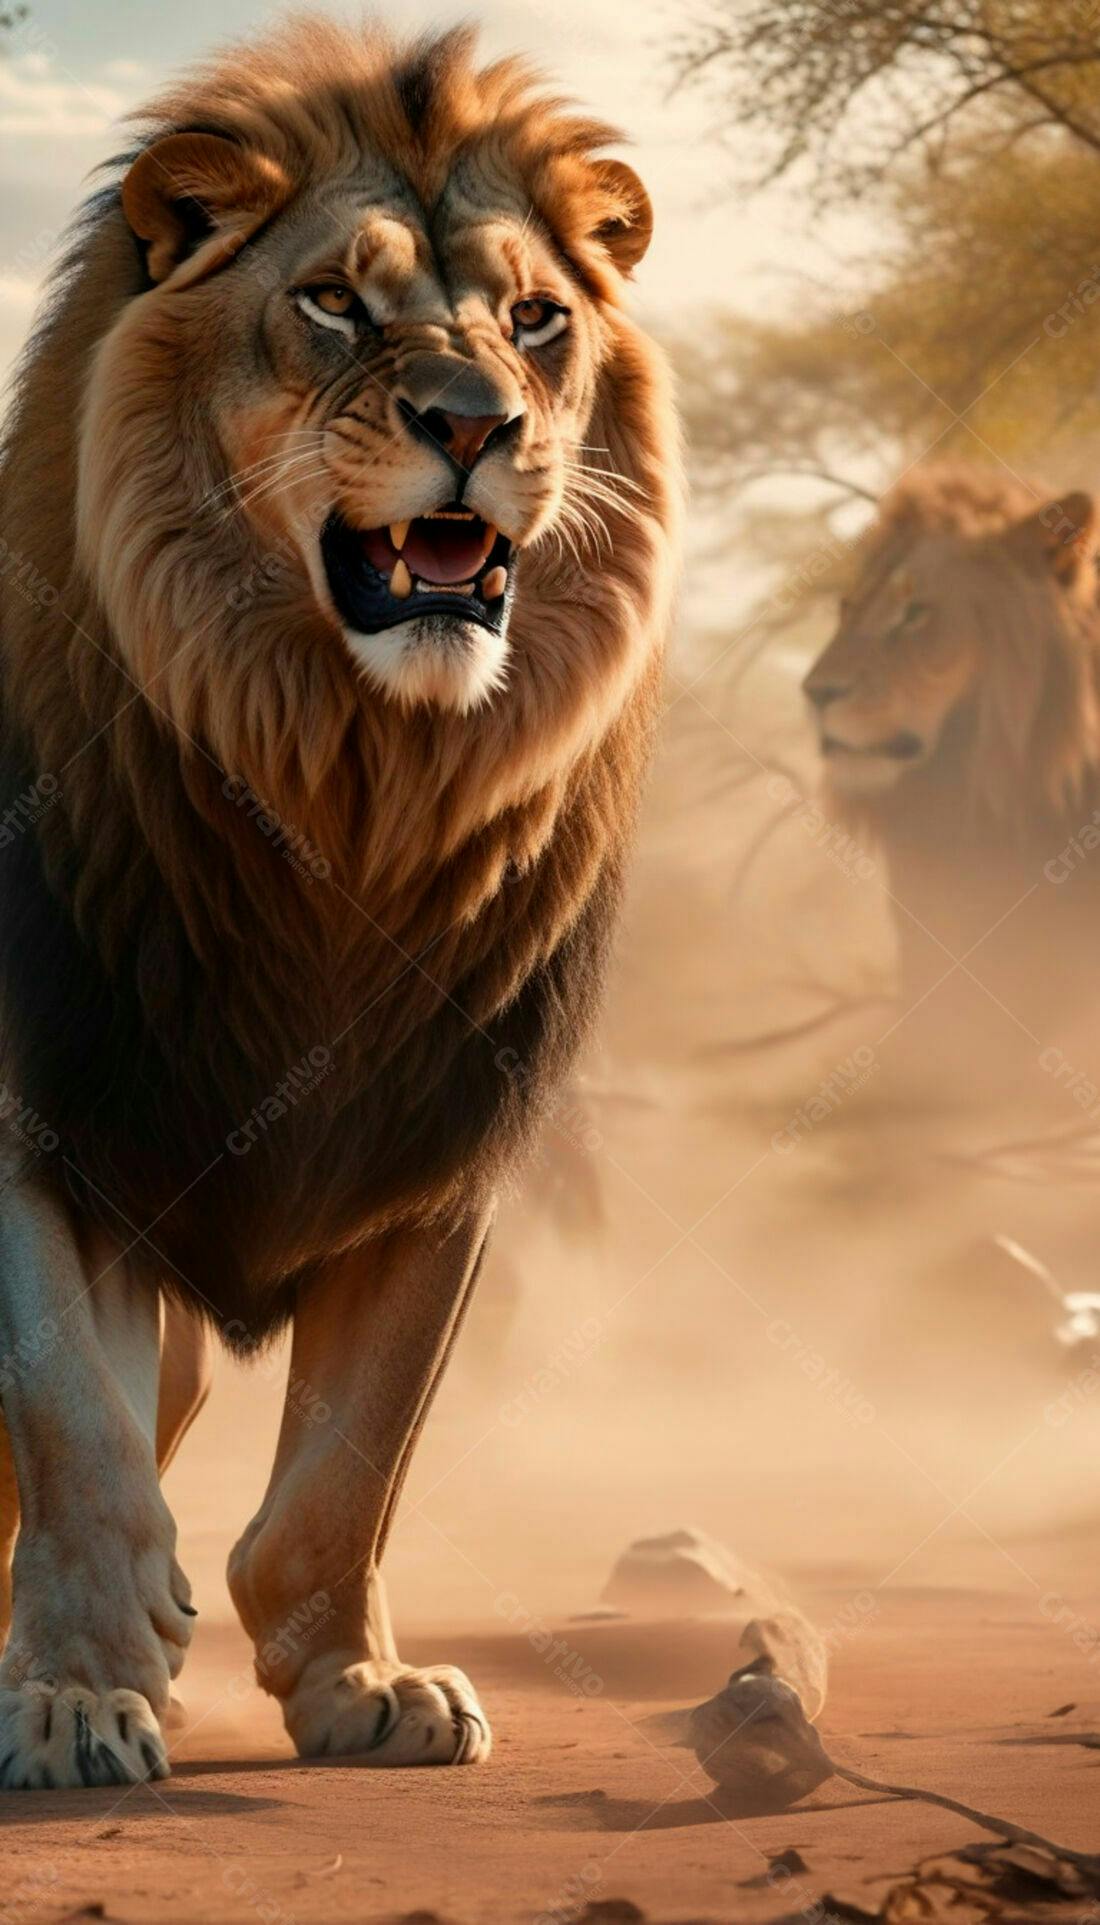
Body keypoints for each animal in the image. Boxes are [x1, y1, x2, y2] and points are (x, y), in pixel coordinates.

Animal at [0, 19, 679, 1788]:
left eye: (535, 318)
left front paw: (359, 1680)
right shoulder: (39, 1107)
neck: (340, 788)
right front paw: (79, 1689)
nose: (476, 422)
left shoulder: (440, 1132)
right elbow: (71, 1419)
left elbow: (360, 1451)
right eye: (333, 303)